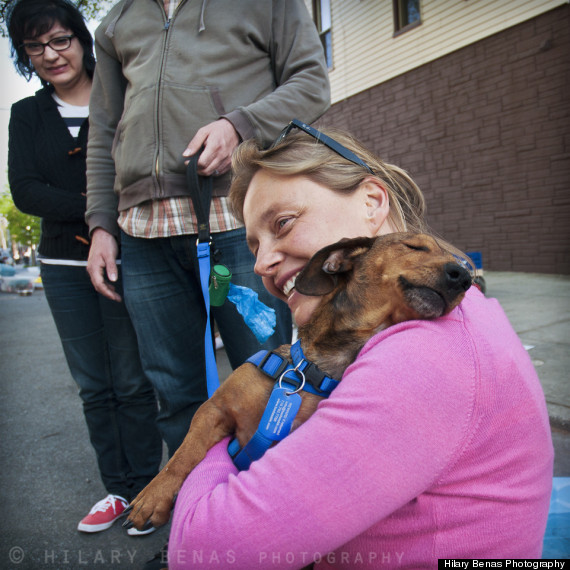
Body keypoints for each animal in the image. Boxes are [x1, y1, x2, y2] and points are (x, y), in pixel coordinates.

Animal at [123, 230, 470, 528]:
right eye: (414, 246)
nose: (465, 278)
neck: (308, 371)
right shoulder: (214, 409)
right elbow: (183, 455)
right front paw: (152, 496)